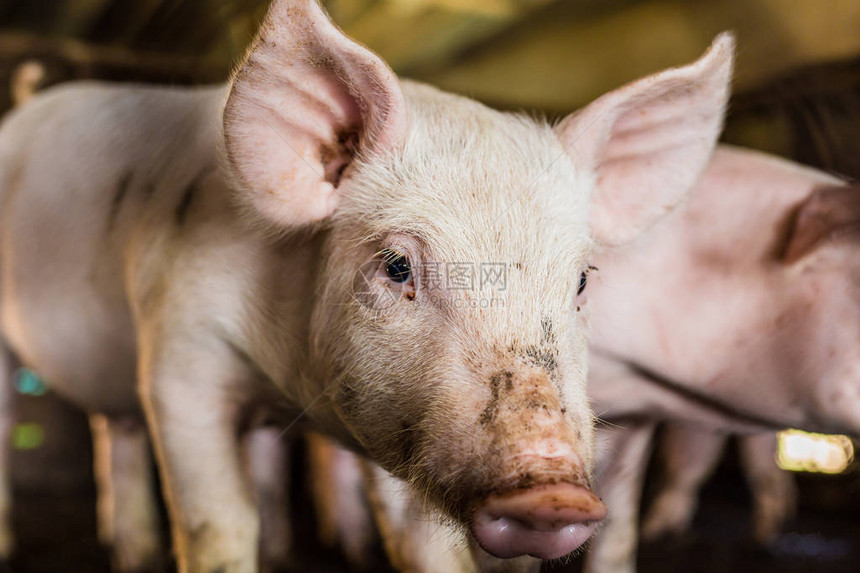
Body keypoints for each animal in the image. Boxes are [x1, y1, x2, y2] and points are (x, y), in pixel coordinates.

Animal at [0, 1, 732, 572]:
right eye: (397, 265)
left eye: (581, 278)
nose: (554, 489)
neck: (289, 388)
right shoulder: (178, 354)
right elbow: (218, 523)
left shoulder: (408, 418)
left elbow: (424, 544)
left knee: (115, 432)